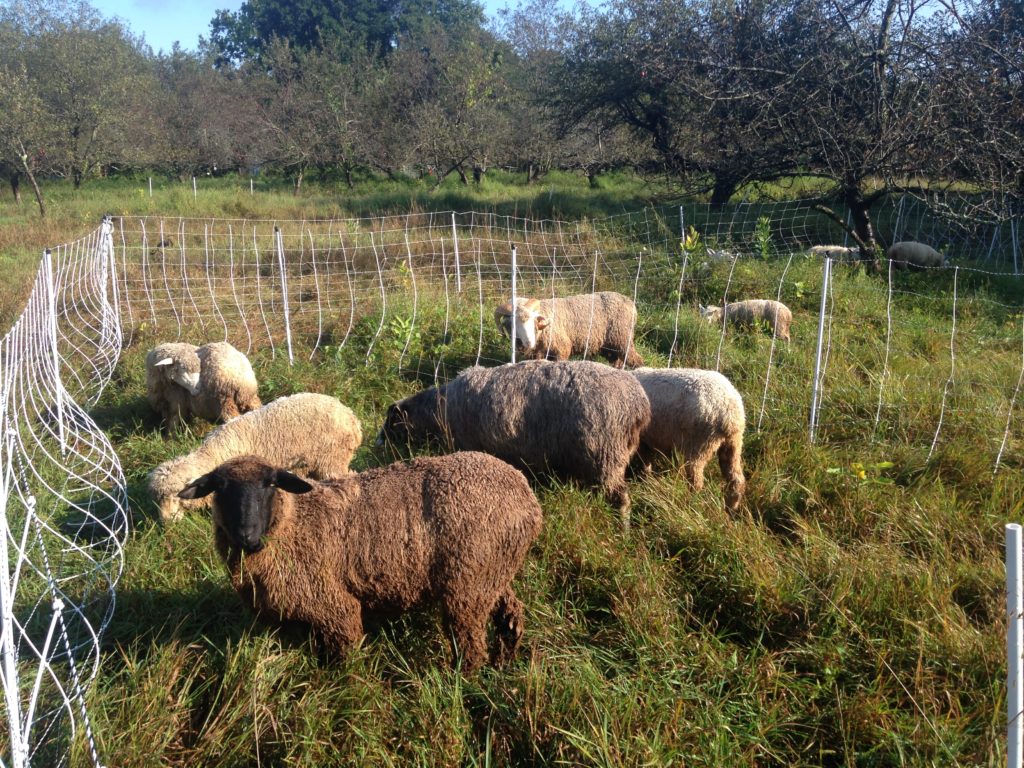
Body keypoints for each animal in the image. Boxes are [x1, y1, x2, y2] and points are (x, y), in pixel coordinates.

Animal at [149, 391, 360, 524]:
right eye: (158, 499)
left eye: (176, 496)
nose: (166, 522)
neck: (214, 454)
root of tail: (351, 418)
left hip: (333, 458)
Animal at [178, 450, 544, 671]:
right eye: (220, 487)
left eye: (270, 484)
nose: (247, 536)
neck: (294, 523)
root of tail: (525, 493)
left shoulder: (332, 605)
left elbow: (344, 658)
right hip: (492, 572)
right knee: (511, 615)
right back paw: (504, 660)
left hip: (468, 583)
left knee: (469, 639)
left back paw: (464, 678)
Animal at [380, 360, 651, 528]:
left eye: (391, 421)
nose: (378, 442)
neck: (439, 411)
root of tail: (638, 405)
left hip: (605, 456)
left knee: (622, 499)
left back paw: (623, 530)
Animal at [630, 368, 745, 518]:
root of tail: (729, 411)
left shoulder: (643, 439)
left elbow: (645, 463)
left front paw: (645, 480)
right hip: (733, 443)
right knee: (736, 480)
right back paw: (731, 509)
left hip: (699, 444)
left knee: (696, 481)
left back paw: (692, 505)